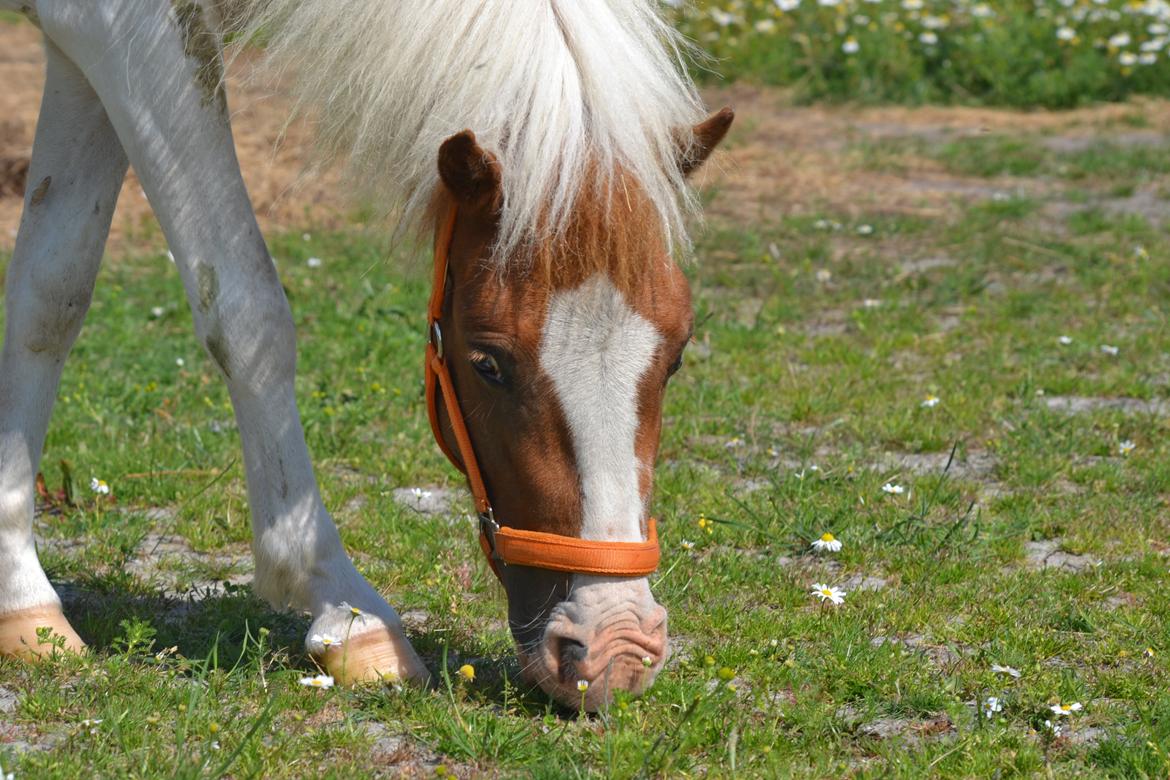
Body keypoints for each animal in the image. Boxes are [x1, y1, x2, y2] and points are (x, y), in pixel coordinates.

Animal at [0, 0, 730, 711]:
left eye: (677, 356)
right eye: (488, 363)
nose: (616, 649)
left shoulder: (81, 45)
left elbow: (51, 292)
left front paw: (20, 600)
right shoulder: (121, 28)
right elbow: (245, 309)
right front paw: (346, 610)